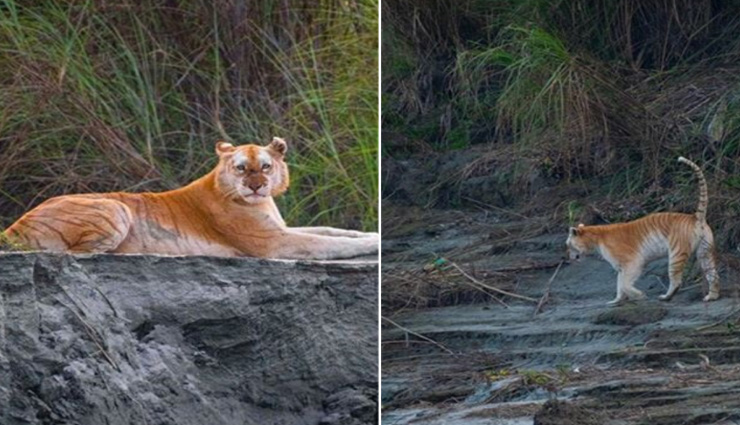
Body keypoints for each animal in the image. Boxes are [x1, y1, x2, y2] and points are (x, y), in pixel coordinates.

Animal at [2, 138, 378, 260]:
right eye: (241, 168)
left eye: (266, 166)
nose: (256, 186)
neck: (260, 203)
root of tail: (13, 226)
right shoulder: (274, 243)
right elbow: (329, 244)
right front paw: (371, 244)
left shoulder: (282, 228)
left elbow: (332, 231)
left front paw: (372, 234)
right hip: (117, 207)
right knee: (78, 254)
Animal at [566, 156, 719, 305]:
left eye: (568, 244)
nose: (569, 258)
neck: (595, 238)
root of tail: (695, 217)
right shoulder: (622, 267)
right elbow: (619, 283)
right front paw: (616, 300)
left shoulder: (632, 261)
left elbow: (625, 284)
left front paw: (640, 296)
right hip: (705, 251)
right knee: (713, 274)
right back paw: (711, 297)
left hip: (676, 254)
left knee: (676, 280)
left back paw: (666, 297)